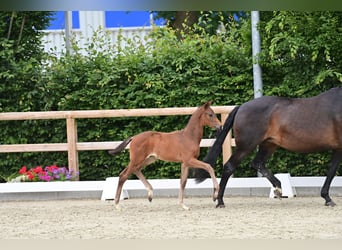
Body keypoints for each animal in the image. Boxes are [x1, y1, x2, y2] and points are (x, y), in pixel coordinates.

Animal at [195, 87, 342, 208]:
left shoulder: (338, 148)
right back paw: (220, 201)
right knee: (229, 166)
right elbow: (332, 171)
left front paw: (327, 198)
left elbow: (332, 170)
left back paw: (278, 188)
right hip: (246, 146)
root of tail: (242, 106)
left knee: (257, 163)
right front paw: (328, 198)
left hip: (269, 144)